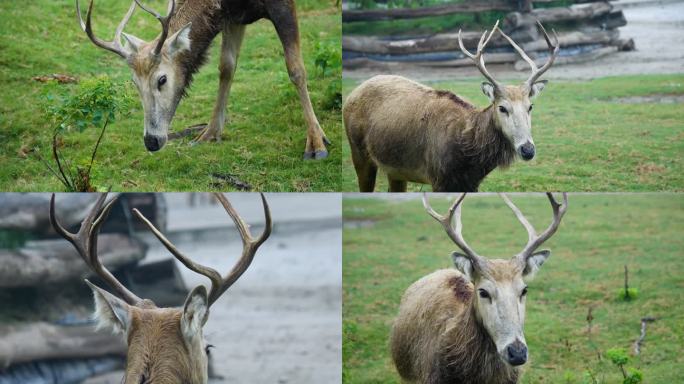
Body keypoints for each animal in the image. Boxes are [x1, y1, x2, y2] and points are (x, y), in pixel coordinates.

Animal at [77, 0, 328, 159]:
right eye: (134, 83)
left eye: (162, 79)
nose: (151, 141)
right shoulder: (233, 15)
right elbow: (226, 67)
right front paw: (208, 134)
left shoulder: (282, 4)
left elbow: (296, 69)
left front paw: (316, 143)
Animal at [344, 21, 560, 192]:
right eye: (502, 108)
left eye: (530, 107)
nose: (527, 150)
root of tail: (353, 92)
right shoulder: (438, 177)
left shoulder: (471, 184)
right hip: (359, 152)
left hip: (395, 170)